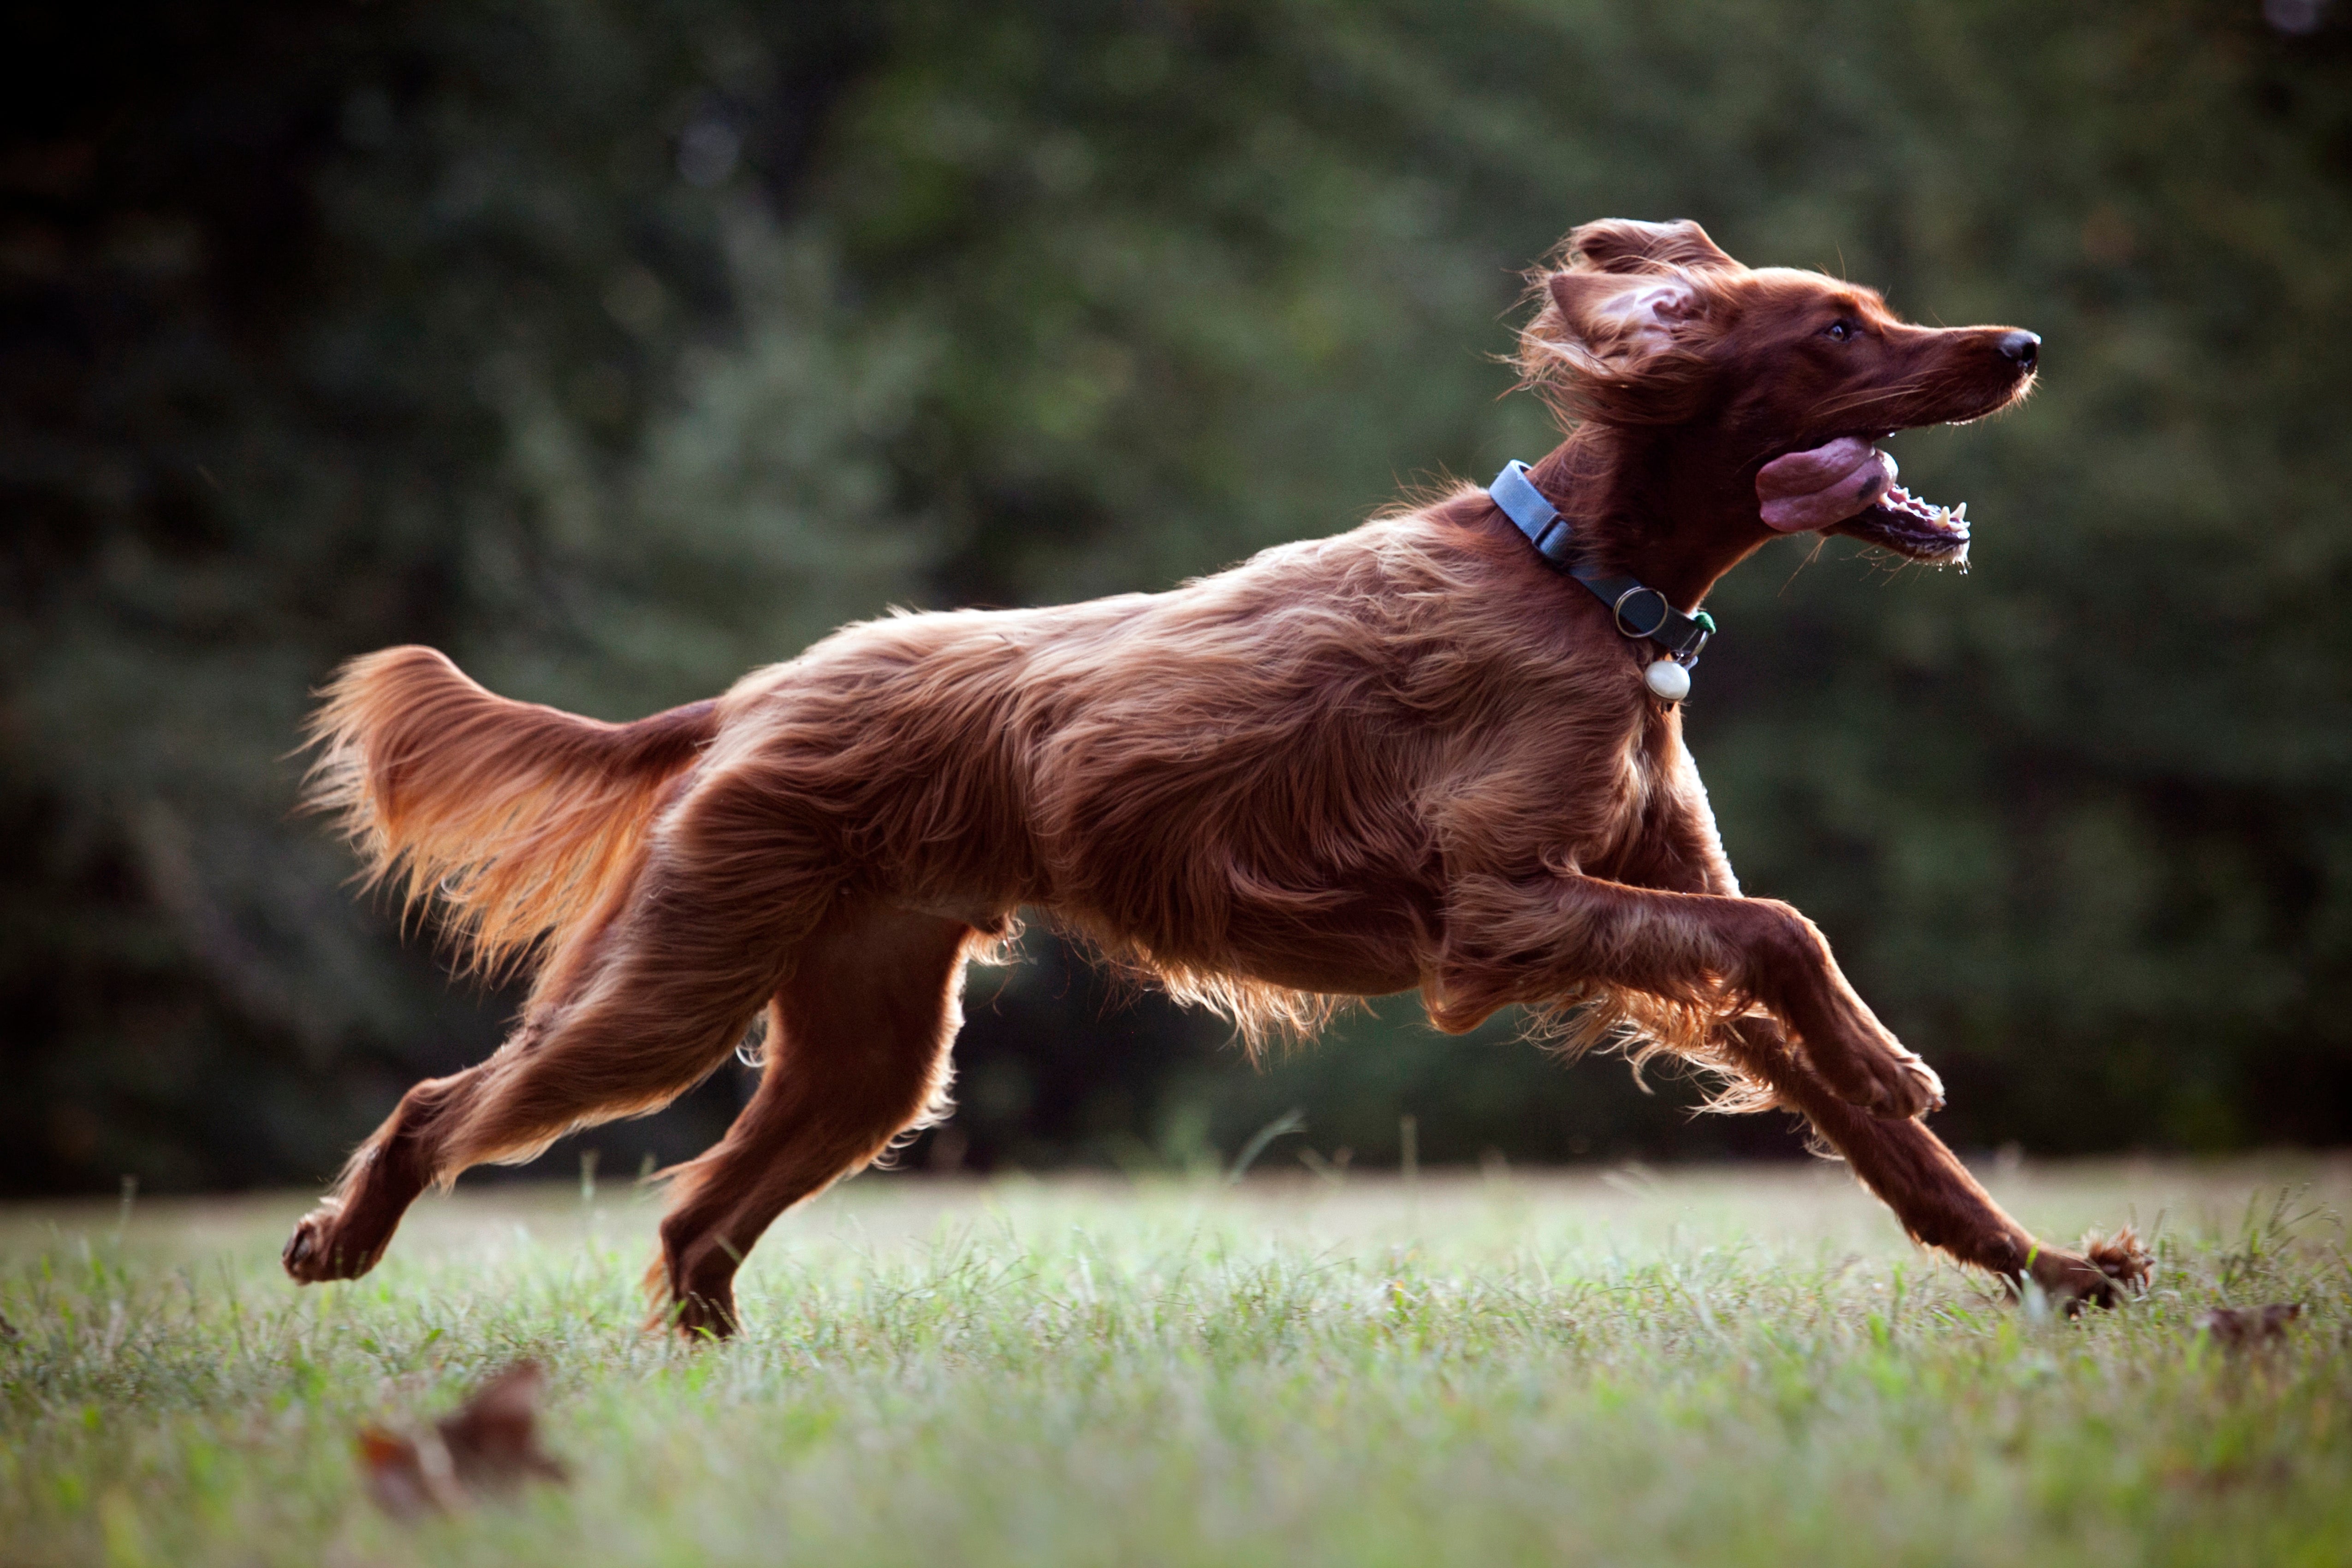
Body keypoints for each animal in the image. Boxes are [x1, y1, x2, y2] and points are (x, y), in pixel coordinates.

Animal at [279, 217, 2154, 1335]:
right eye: (1836, 328)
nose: (2020, 343)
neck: (1583, 582)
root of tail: (748, 696)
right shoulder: (1498, 914)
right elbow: (1792, 939)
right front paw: (1905, 1061)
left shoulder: (1642, 913)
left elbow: (1878, 1124)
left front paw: (2055, 1269)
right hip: (674, 982)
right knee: (453, 1105)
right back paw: (338, 1241)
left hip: (867, 1046)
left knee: (695, 1222)